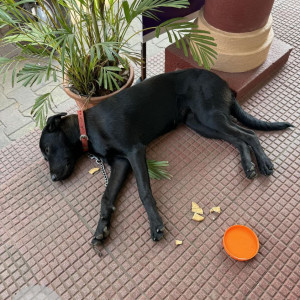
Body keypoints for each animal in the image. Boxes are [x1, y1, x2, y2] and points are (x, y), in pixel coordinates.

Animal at [39, 69, 292, 245]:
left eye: (48, 150)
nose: (52, 179)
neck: (88, 128)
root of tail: (224, 83)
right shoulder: (121, 163)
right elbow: (106, 198)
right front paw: (101, 230)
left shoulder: (134, 151)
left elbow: (144, 192)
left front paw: (156, 224)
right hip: (201, 124)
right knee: (239, 139)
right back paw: (248, 166)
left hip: (210, 117)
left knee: (249, 134)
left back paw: (263, 164)